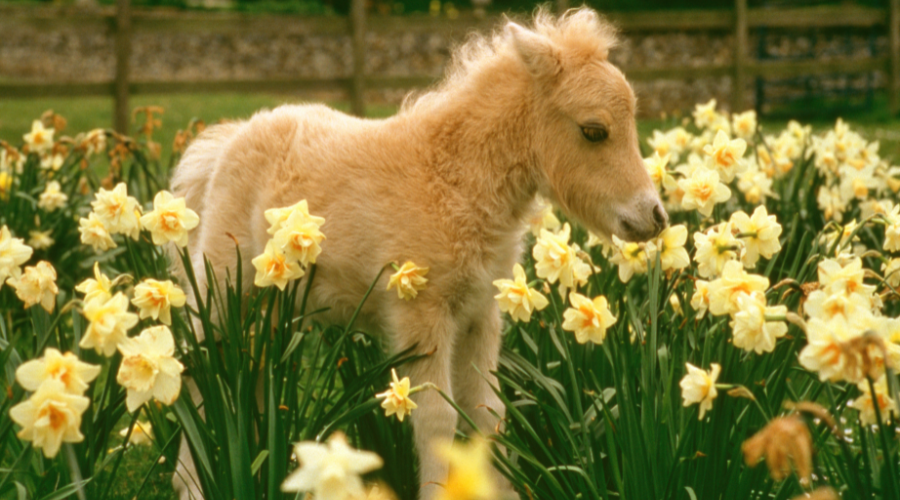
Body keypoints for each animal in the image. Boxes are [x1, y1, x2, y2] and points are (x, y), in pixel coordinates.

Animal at [172, 8, 664, 500]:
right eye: (594, 131)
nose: (654, 216)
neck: (454, 177)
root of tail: (232, 137)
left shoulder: (480, 313)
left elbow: (489, 414)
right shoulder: (421, 314)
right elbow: (437, 419)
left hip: (273, 304)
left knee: (251, 373)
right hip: (223, 284)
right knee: (199, 368)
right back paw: (192, 484)